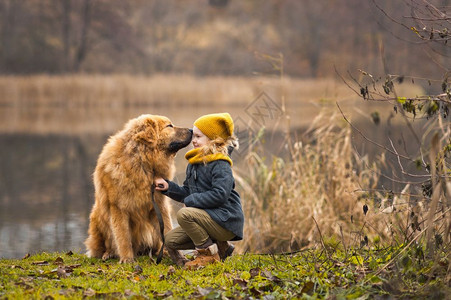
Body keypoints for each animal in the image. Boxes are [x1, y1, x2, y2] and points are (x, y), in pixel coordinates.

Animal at [85, 114, 192, 262]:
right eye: (169, 126)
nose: (192, 130)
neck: (142, 161)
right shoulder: (118, 208)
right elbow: (123, 237)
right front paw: (127, 259)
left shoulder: (159, 206)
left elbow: (167, 231)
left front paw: (177, 257)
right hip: (97, 217)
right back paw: (109, 253)